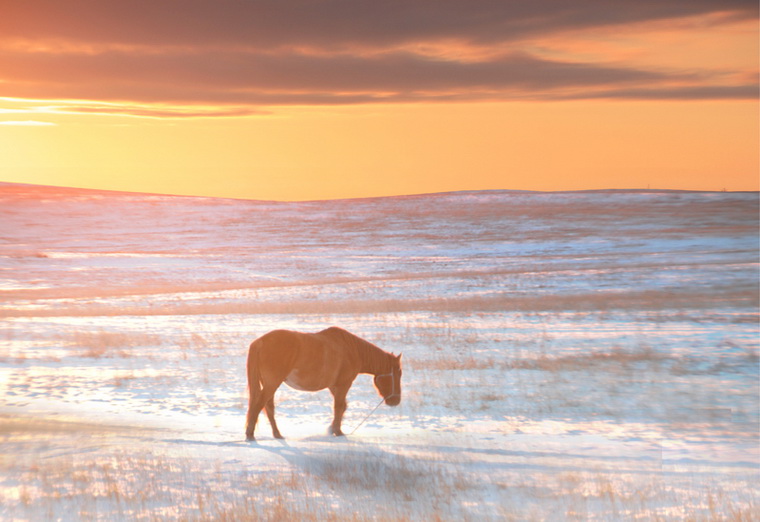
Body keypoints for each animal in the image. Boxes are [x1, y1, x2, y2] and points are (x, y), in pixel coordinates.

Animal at [246, 324, 404, 438]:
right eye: (398, 374)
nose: (395, 401)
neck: (352, 350)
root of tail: (260, 342)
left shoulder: (333, 386)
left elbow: (343, 406)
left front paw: (332, 428)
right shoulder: (344, 384)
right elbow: (339, 407)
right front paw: (337, 431)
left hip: (270, 384)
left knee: (268, 407)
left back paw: (277, 434)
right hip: (272, 383)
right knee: (259, 405)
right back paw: (250, 435)